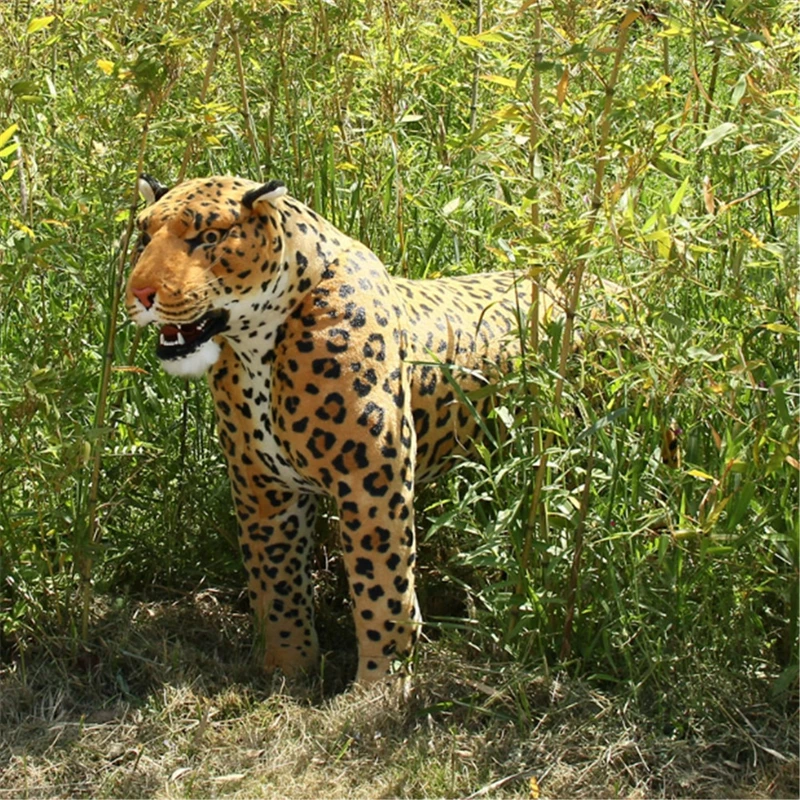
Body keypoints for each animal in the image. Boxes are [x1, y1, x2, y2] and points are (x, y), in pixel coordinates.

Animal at [125, 174, 564, 685]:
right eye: (144, 238)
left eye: (209, 237)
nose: (140, 294)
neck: (257, 348)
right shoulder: (262, 488)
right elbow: (276, 581)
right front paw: (288, 668)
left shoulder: (372, 484)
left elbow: (382, 590)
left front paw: (378, 685)